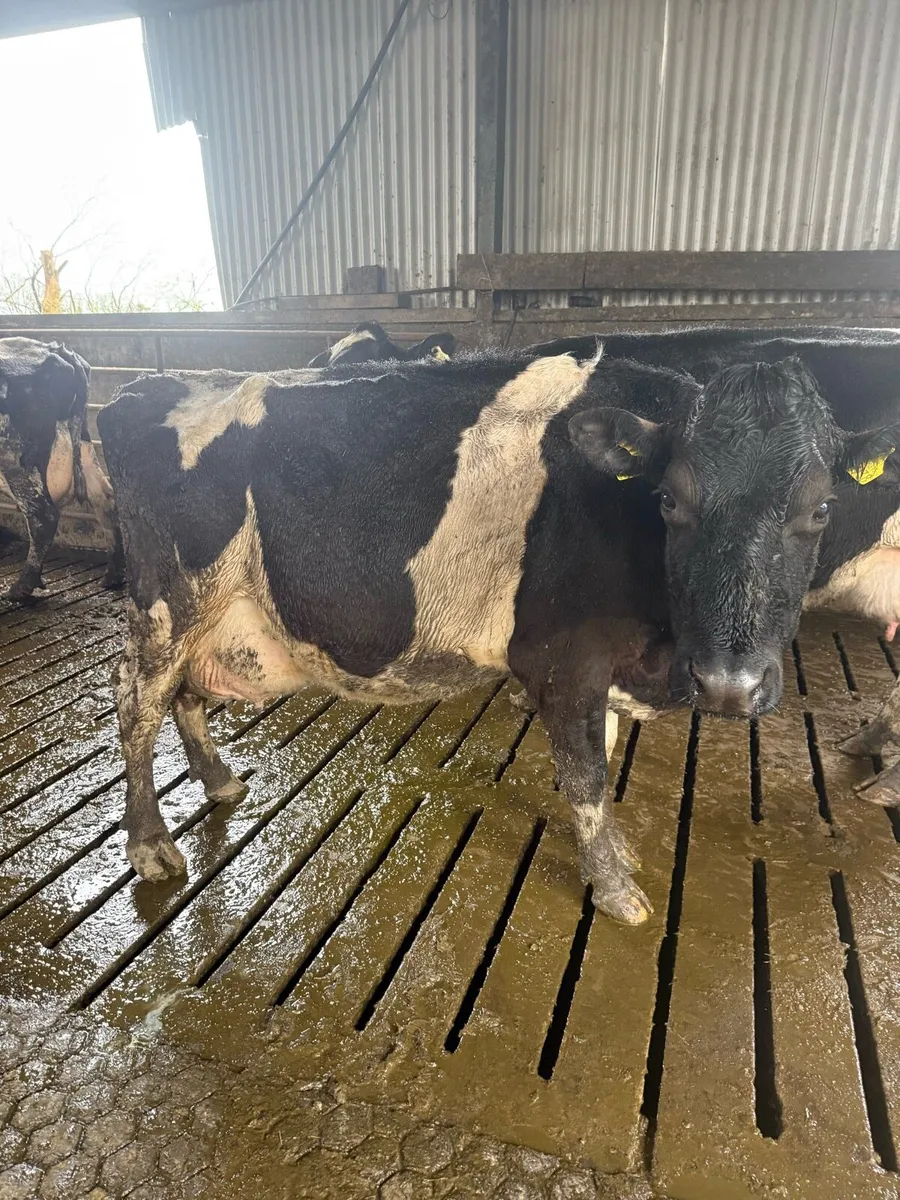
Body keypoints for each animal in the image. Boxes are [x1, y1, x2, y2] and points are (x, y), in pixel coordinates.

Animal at [0, 337, 124, 598]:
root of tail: (58, 351)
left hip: (15, 457)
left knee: (42, 515)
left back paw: (21, 587)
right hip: (83, 447)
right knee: (105, 499)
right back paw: (113, 575)